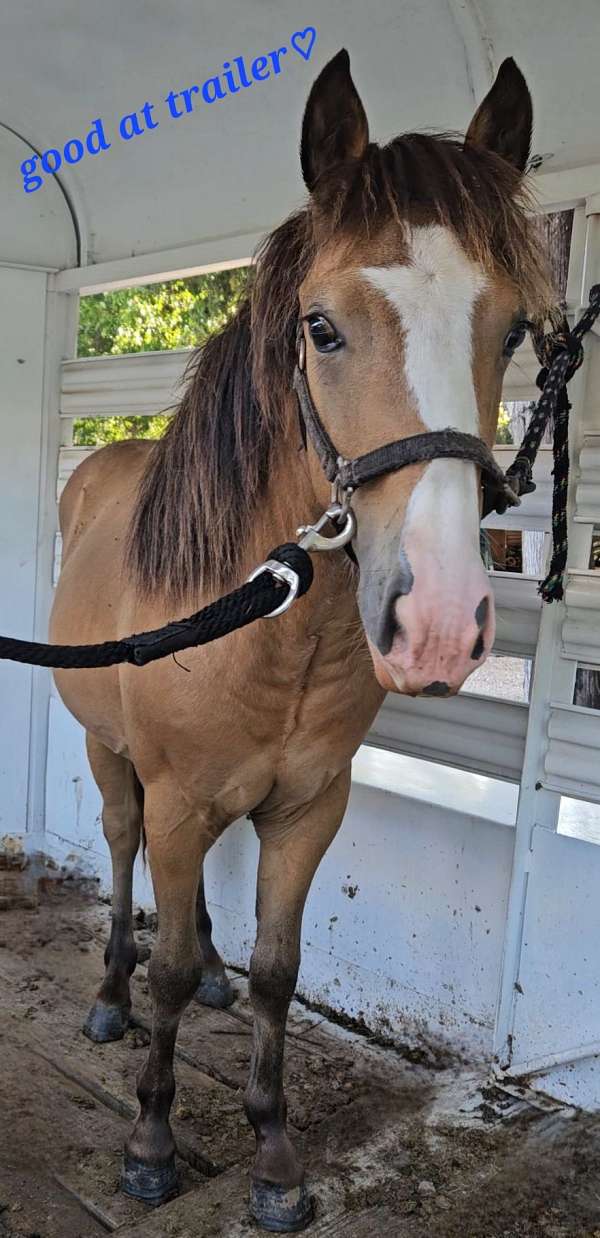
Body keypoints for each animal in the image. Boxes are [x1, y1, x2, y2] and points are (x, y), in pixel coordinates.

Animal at [50, 48, 550, 1233]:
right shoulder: (179, 794)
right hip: (113, 757)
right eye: (322, 327)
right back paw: (109, 997)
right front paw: (151, 1142)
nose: (439, 622)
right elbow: (165, 964)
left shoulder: (309, 806)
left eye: (512, 329)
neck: (267, 625)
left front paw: (275, 1154)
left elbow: (279, 970)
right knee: (124, 849)